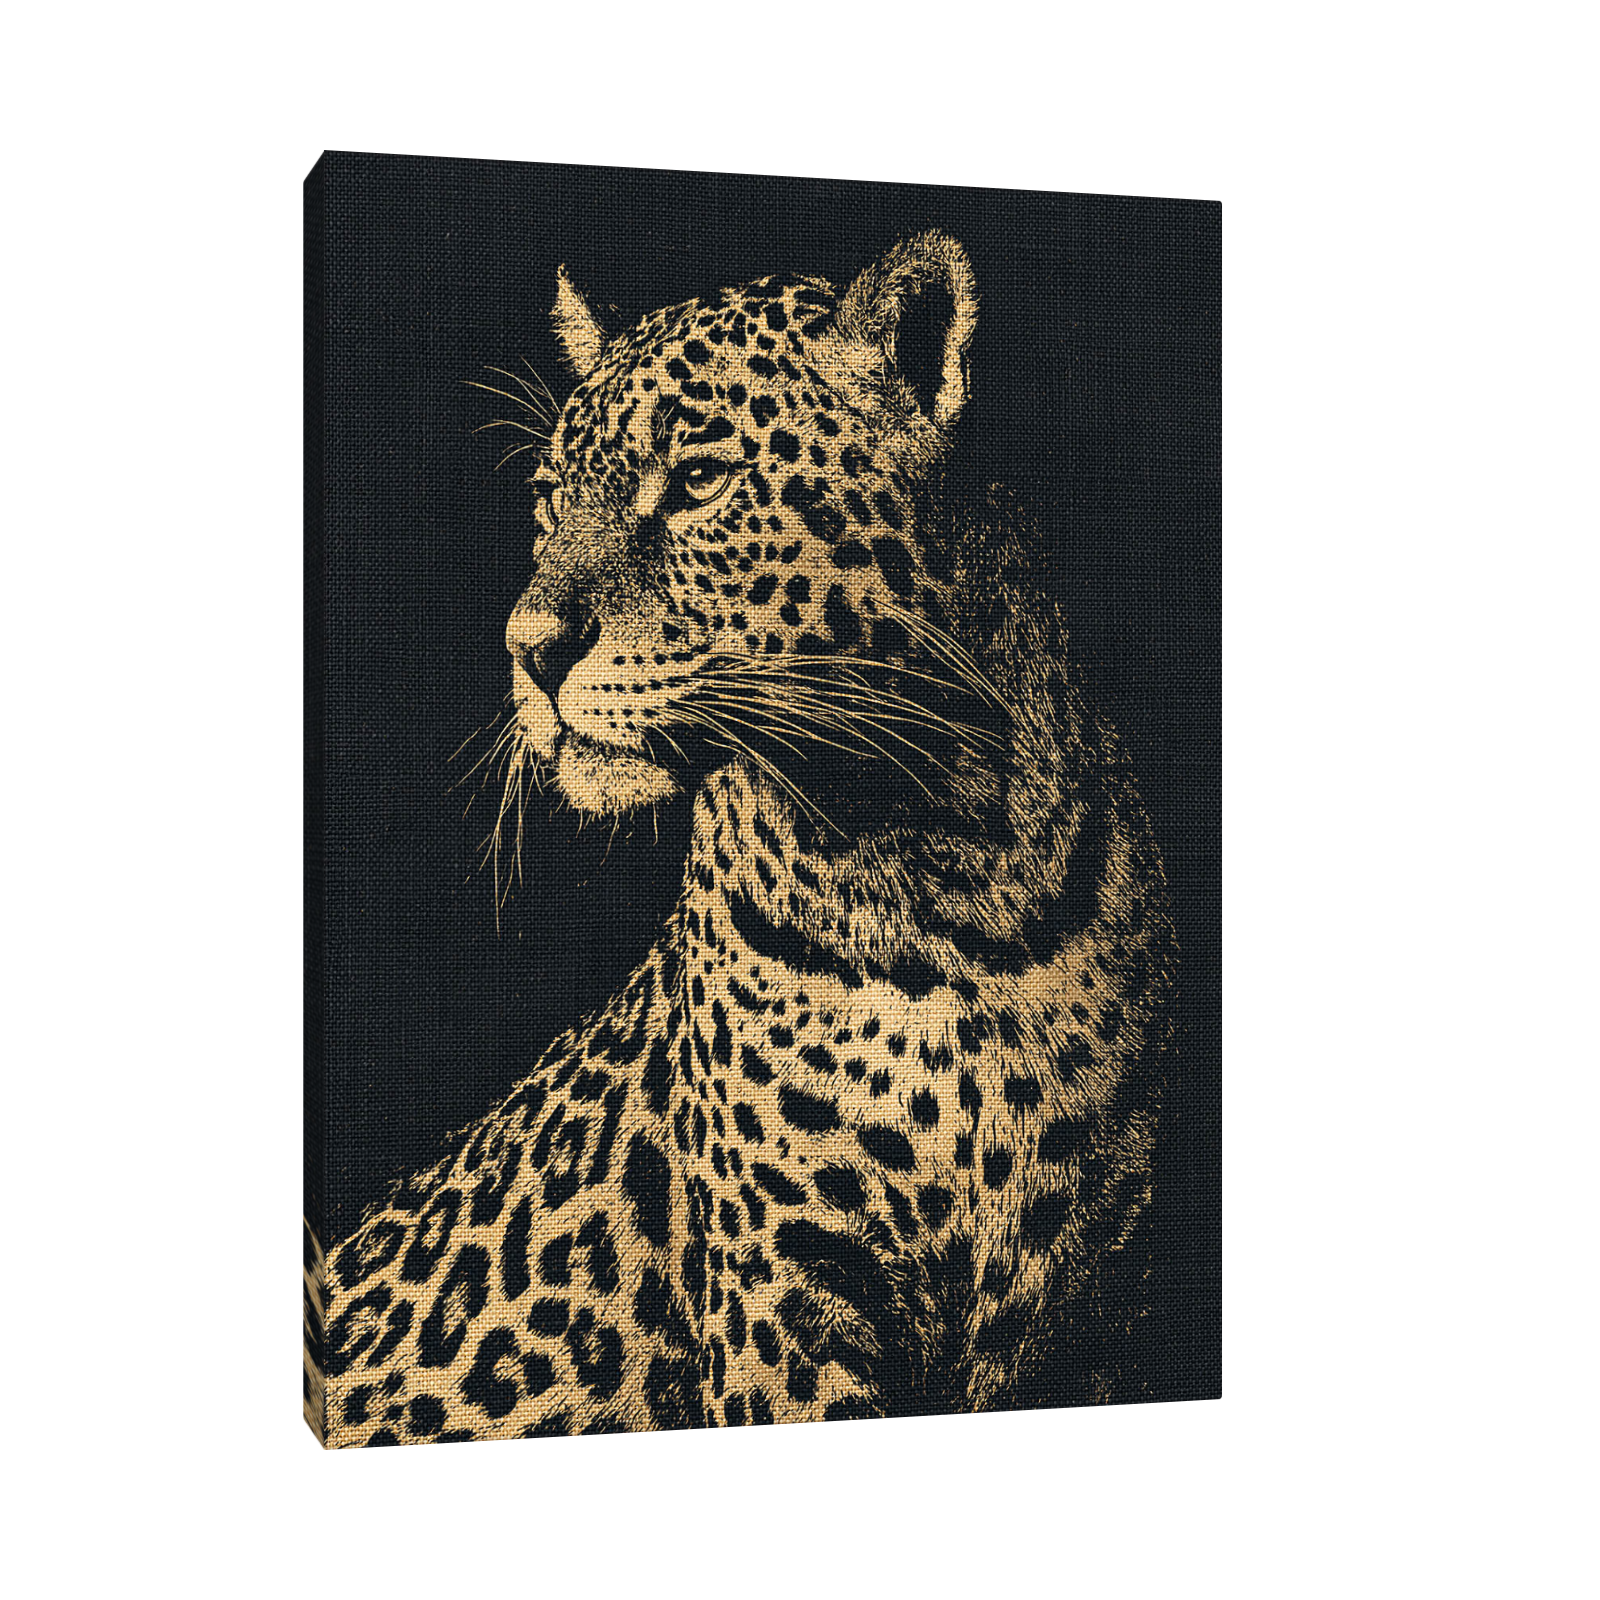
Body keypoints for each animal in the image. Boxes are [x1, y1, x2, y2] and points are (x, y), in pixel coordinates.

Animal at [305, 232, 1179, 1447]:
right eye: (548, 500)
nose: (528, 648)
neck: (938, 865)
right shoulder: (786, 1288)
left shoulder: (1092, 1293)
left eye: (699, 482)